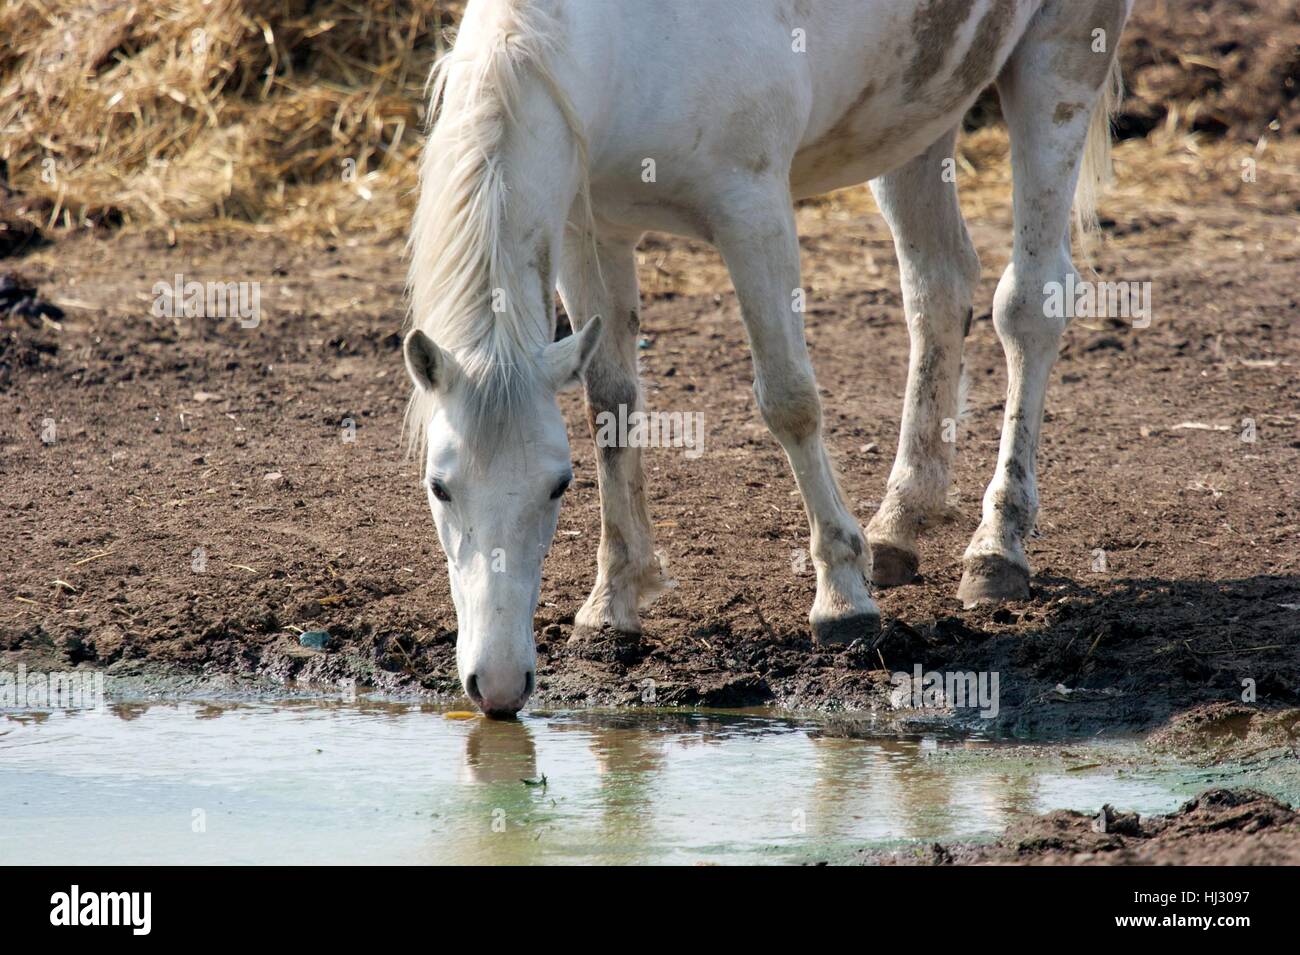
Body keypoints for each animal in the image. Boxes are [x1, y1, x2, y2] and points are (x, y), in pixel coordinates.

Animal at [403, 0, 1128, 717]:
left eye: (557, 486)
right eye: (438, 486)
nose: (498, 686)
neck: (618, 40)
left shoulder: (751, 208)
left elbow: (790, 400)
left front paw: (843, 597)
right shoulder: (593, 229)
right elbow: (610, 404)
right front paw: (613, 604)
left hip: (1058, 64)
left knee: (1028, 305)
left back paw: (997, 547)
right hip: (921, 108)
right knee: (937, 288)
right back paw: (897, 525)